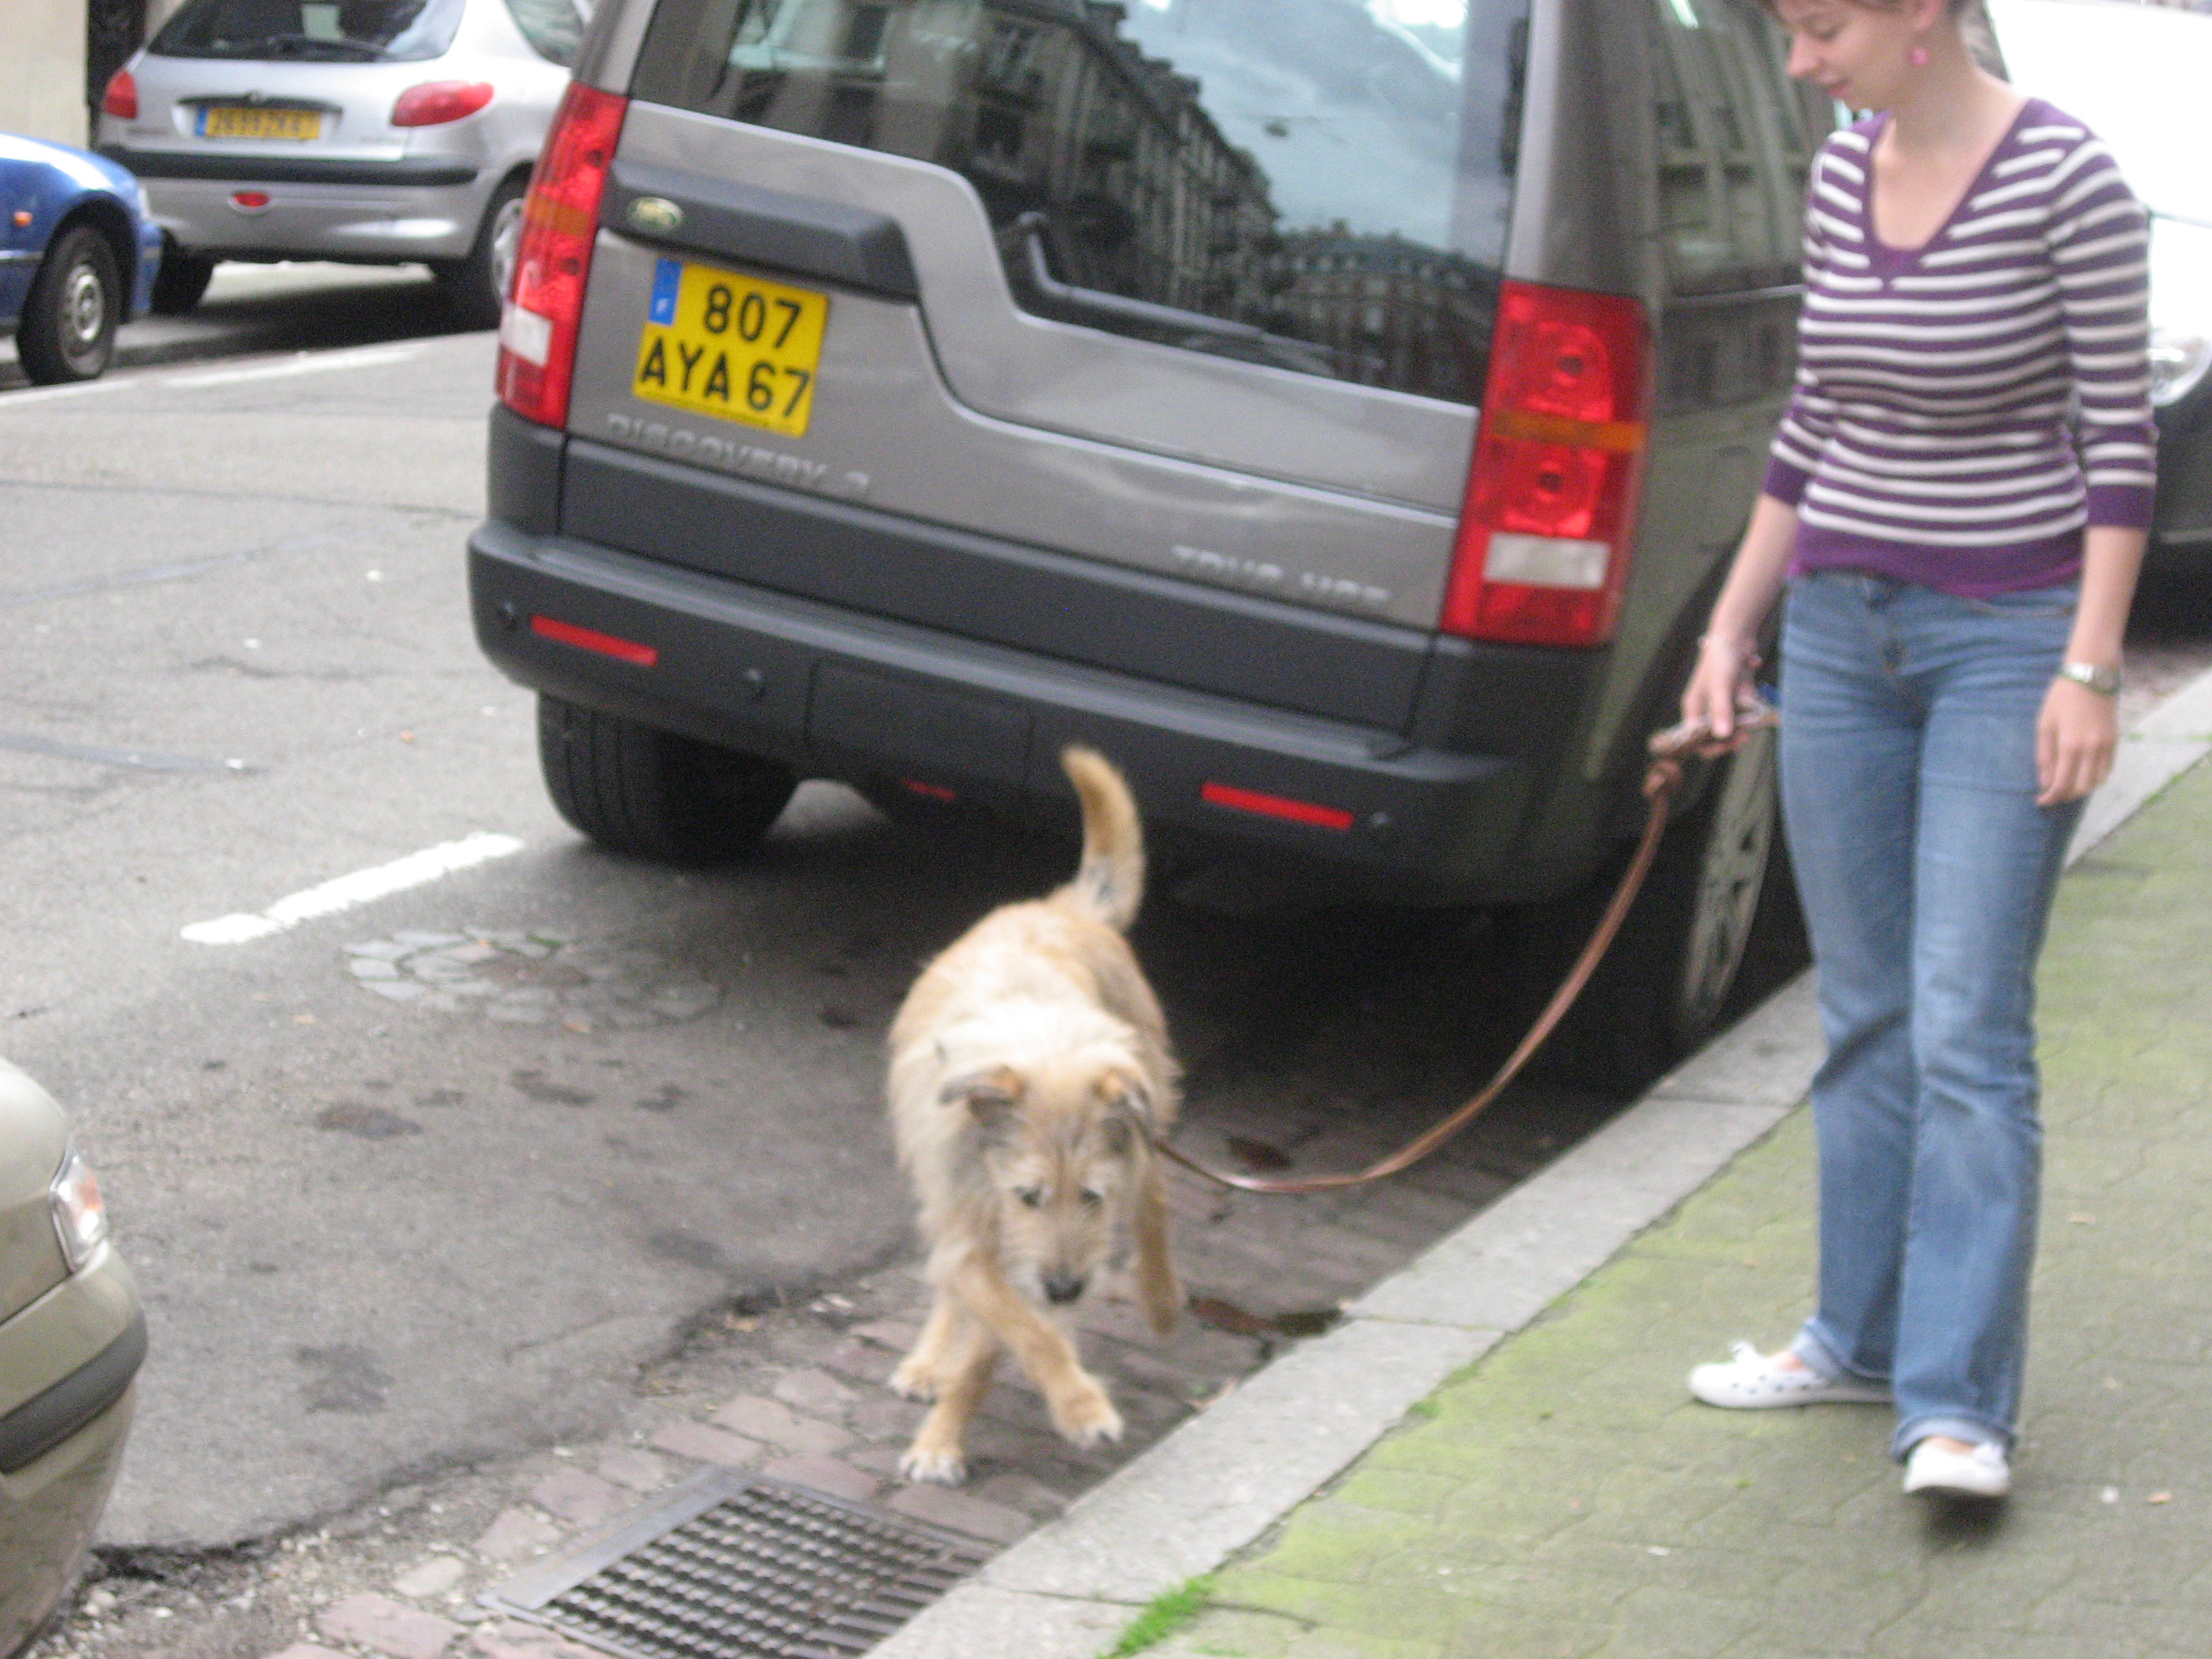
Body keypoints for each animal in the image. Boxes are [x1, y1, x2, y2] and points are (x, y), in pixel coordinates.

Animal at [885, 746, 1182, 1485]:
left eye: (1092, 1196)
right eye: (1028, 1195)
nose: (1068, 1289)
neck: (1043, 1048)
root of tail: (1064, 907)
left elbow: (999, 1345)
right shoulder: (975, 1227)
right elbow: (1016, 1323)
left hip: (1149, 1106)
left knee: (1156, 1196)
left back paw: (1162, 1300)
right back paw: (929, 1359)